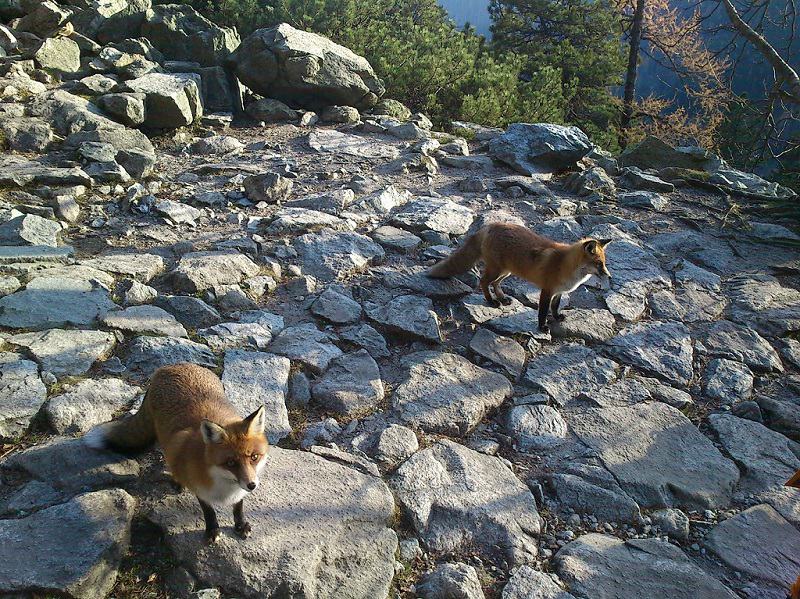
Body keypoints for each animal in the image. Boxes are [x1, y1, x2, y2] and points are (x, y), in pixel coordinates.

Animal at [84, 364, 268, 548]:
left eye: (254, 457)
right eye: (230, 463)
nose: (252, 485)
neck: (224, 484)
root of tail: (171, 366)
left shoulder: (239, 492)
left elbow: (238, 507)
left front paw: (240, 525)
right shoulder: (198, 487)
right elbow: (208, 511)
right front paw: (212, 530)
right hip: (167, 441)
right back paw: (177, 480)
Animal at [432, 223, 612, 332]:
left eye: (604, 263)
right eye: (598, 263)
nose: (609, 276)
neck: (566, 266)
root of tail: (491, 225)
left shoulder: (559, 292)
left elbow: (555, 307)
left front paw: (557, 317)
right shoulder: (547, 290)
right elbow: (543, 311)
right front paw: (542, 327)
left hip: (506, 271)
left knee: (495, 284)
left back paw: (502, 298)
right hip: (497, 270)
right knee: (483, 282)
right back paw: (492, 301)